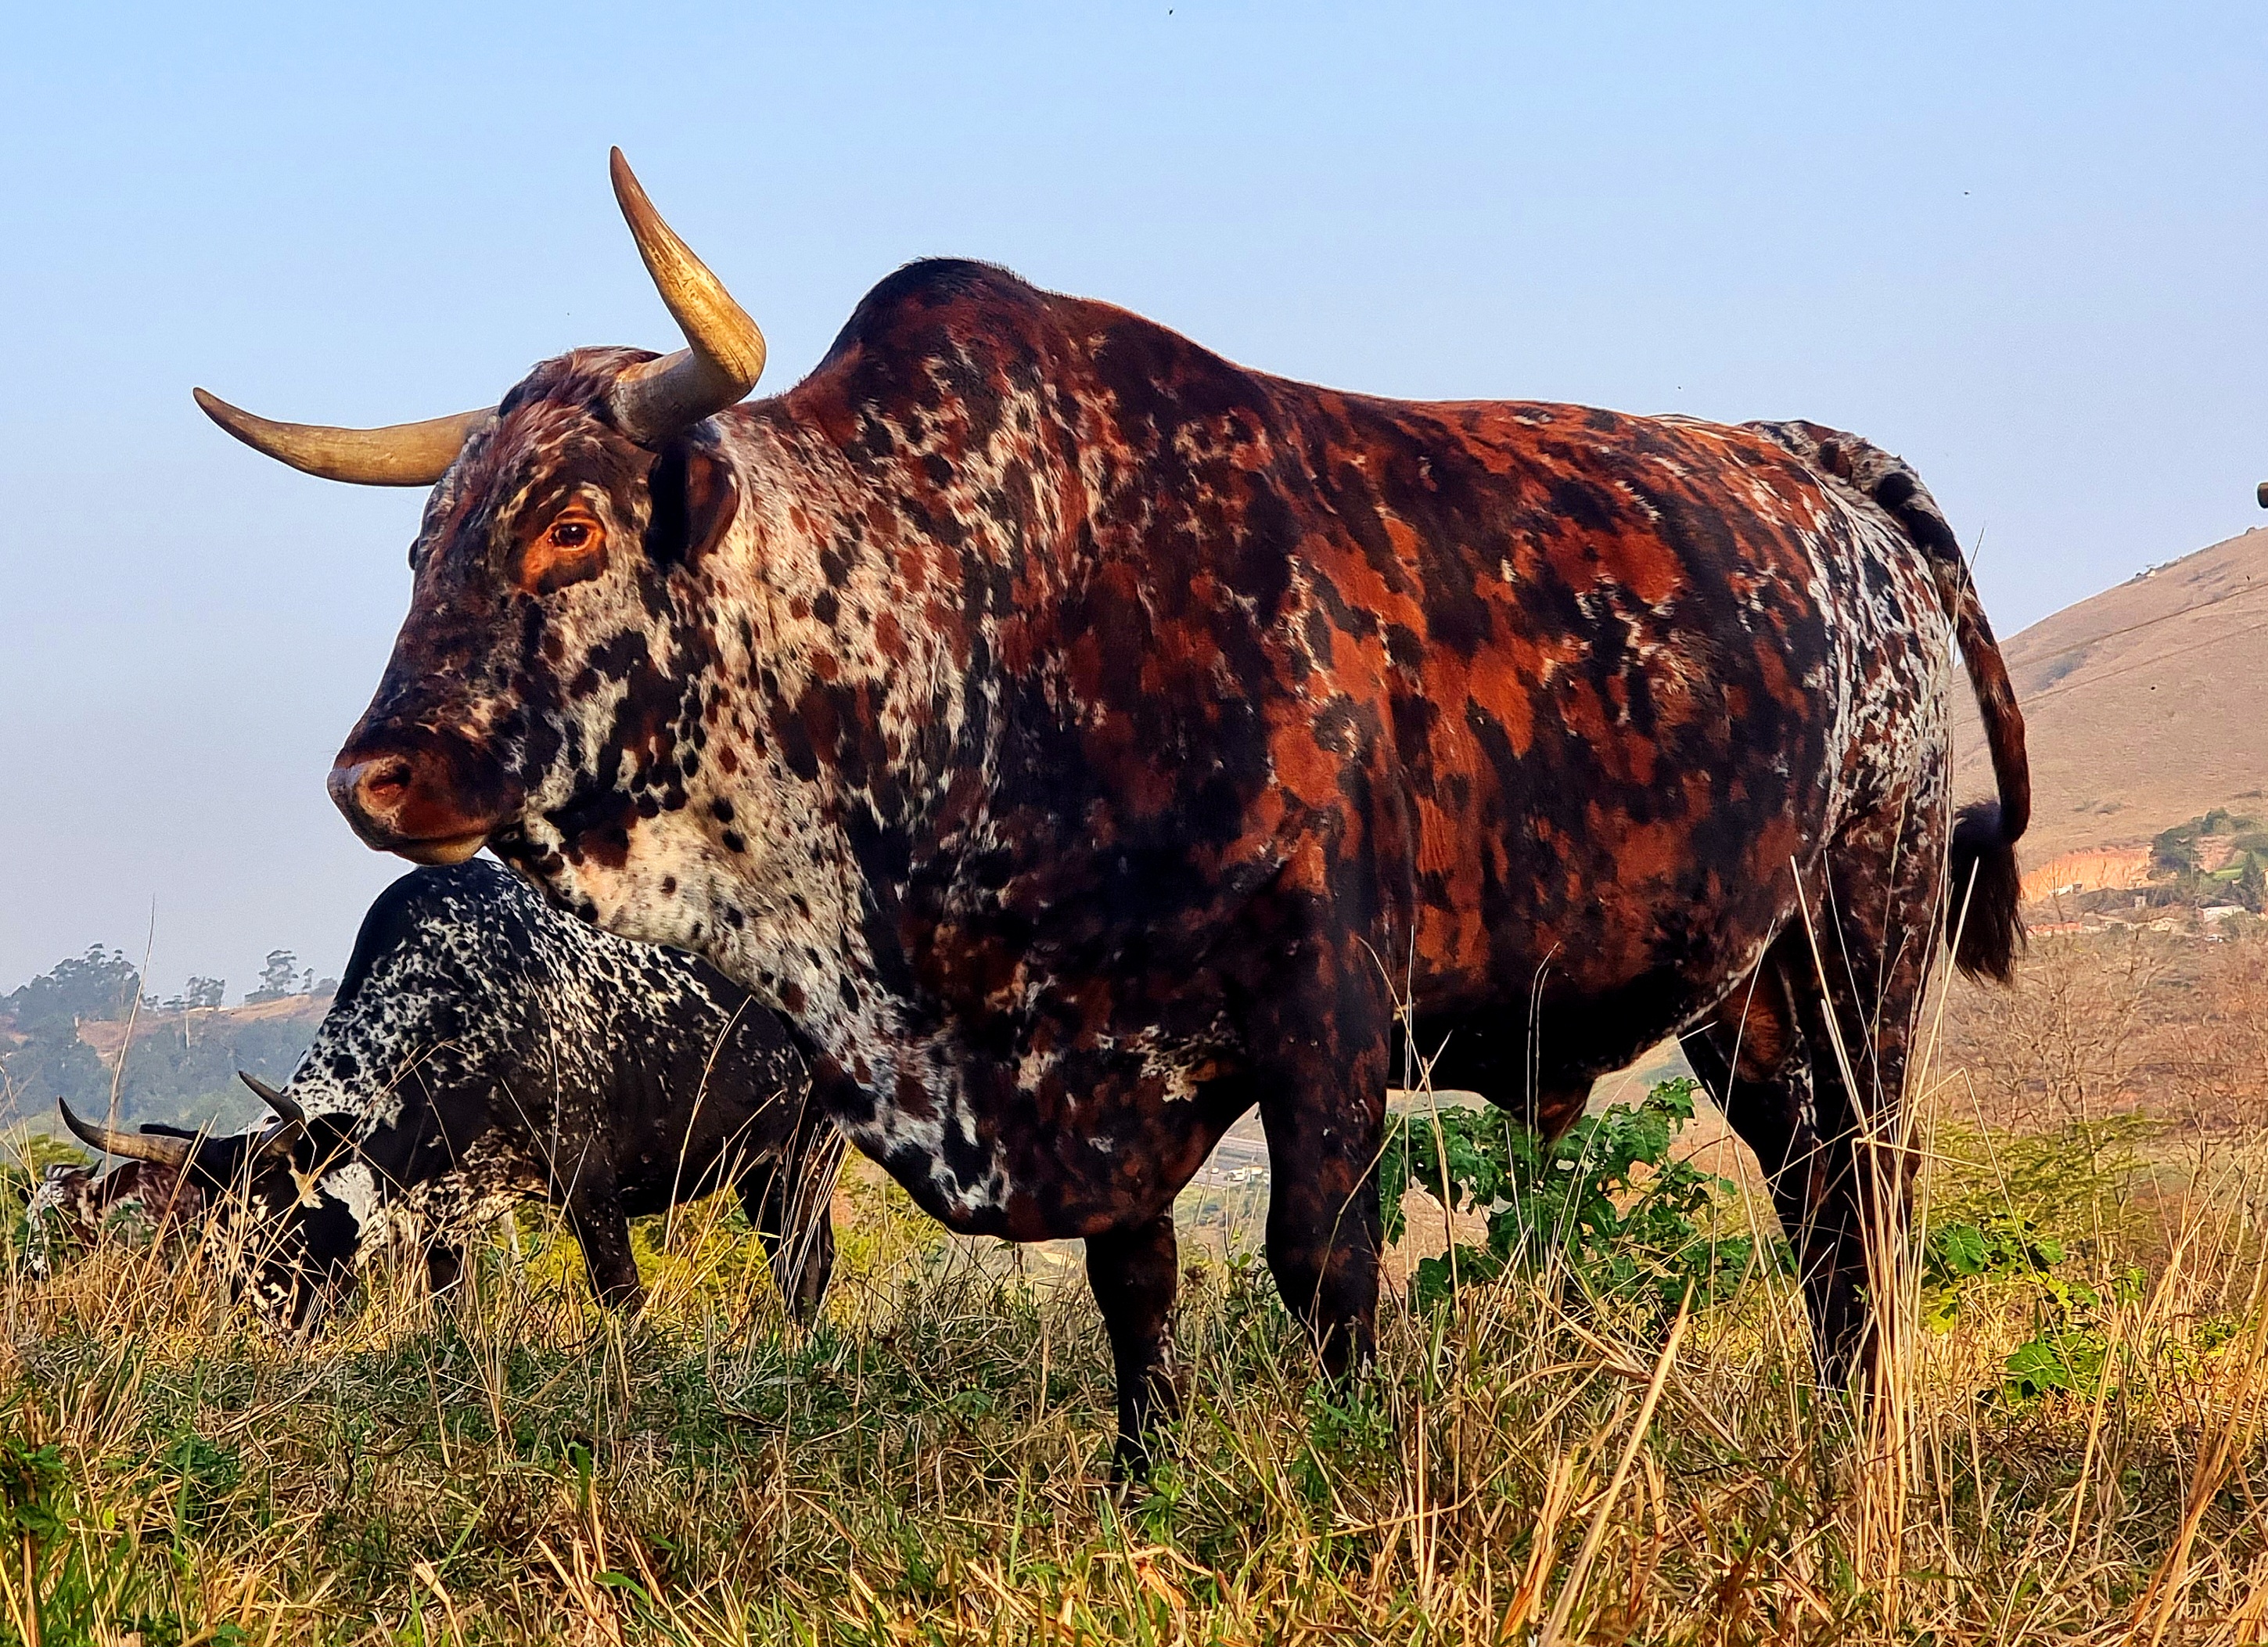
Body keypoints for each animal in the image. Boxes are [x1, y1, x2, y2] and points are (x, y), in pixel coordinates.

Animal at [56, 859, 841, 1329]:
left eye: (281, 1227)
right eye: (217, 1248)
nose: (271, 1324)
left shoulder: (586, 1179)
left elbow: (620, 1293)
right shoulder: (446, 1219)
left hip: (809, 1150)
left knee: (804, 1266)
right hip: (763, 1168)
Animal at [195, 150, 2029, 1470]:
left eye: (568, 523)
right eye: (421, 537)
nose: (375, 774)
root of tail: (1806, 463)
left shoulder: (1321, 1014)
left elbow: (1319, 1263)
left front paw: (1354, 1471)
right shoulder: (1096, 1063)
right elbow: (1134, 1289)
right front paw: (1144, 1480)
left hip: (1862, 940)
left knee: (1865, 1190)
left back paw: (1865, 1437)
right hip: (1749, 999)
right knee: (1810, 1199)